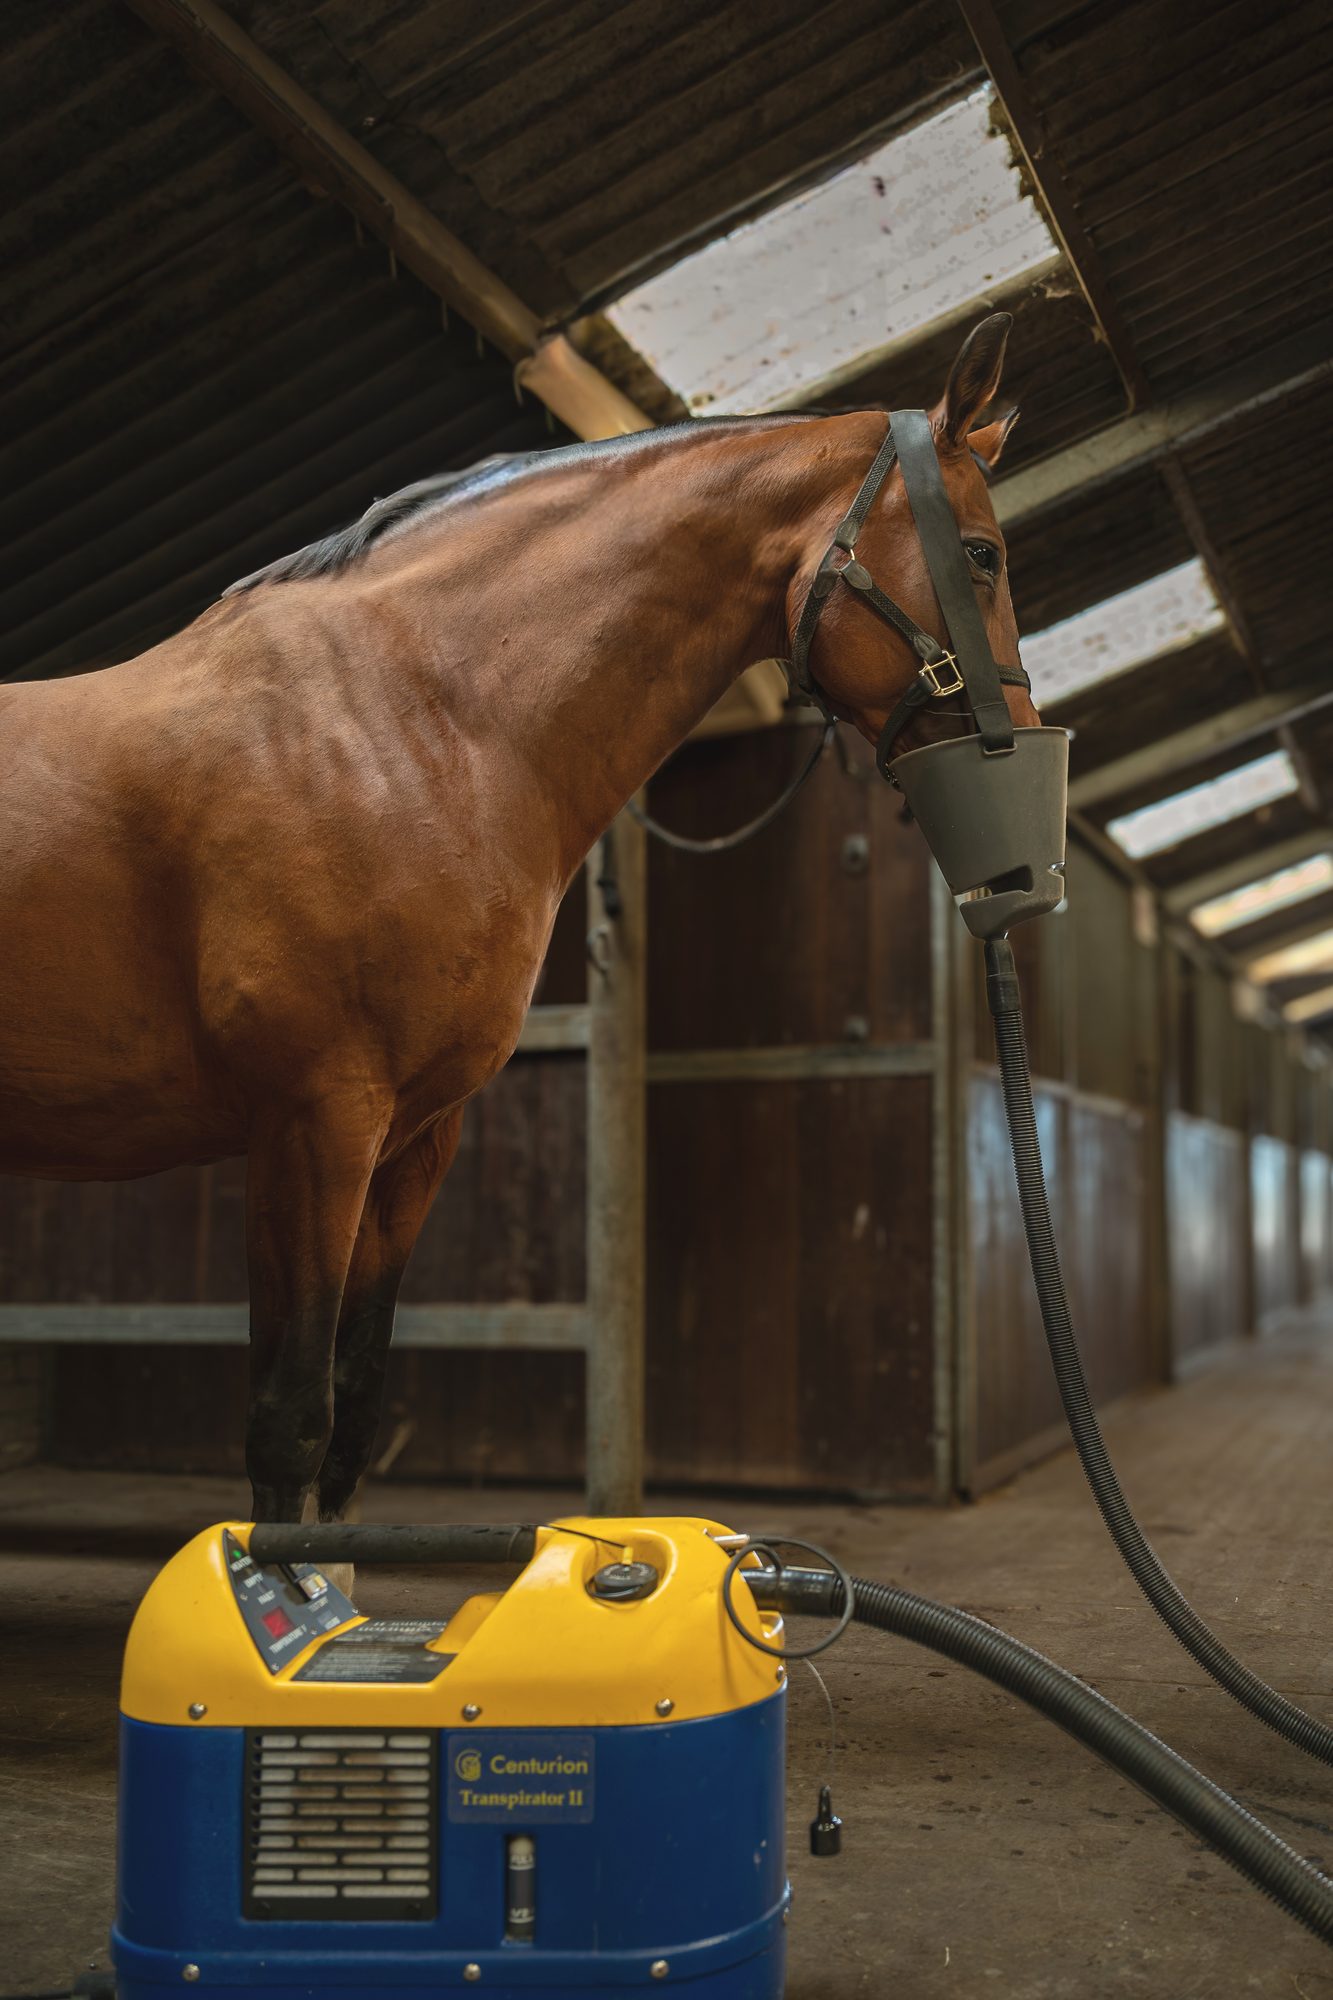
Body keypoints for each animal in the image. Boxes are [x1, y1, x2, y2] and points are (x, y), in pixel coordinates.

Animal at [0, 312, 1033, 1526]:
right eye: (983, 555)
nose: (1016, 763)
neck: (406, 719)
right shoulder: (311, 1123)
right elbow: (287, 1420)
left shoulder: (410, 1142)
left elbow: (351, 1408)